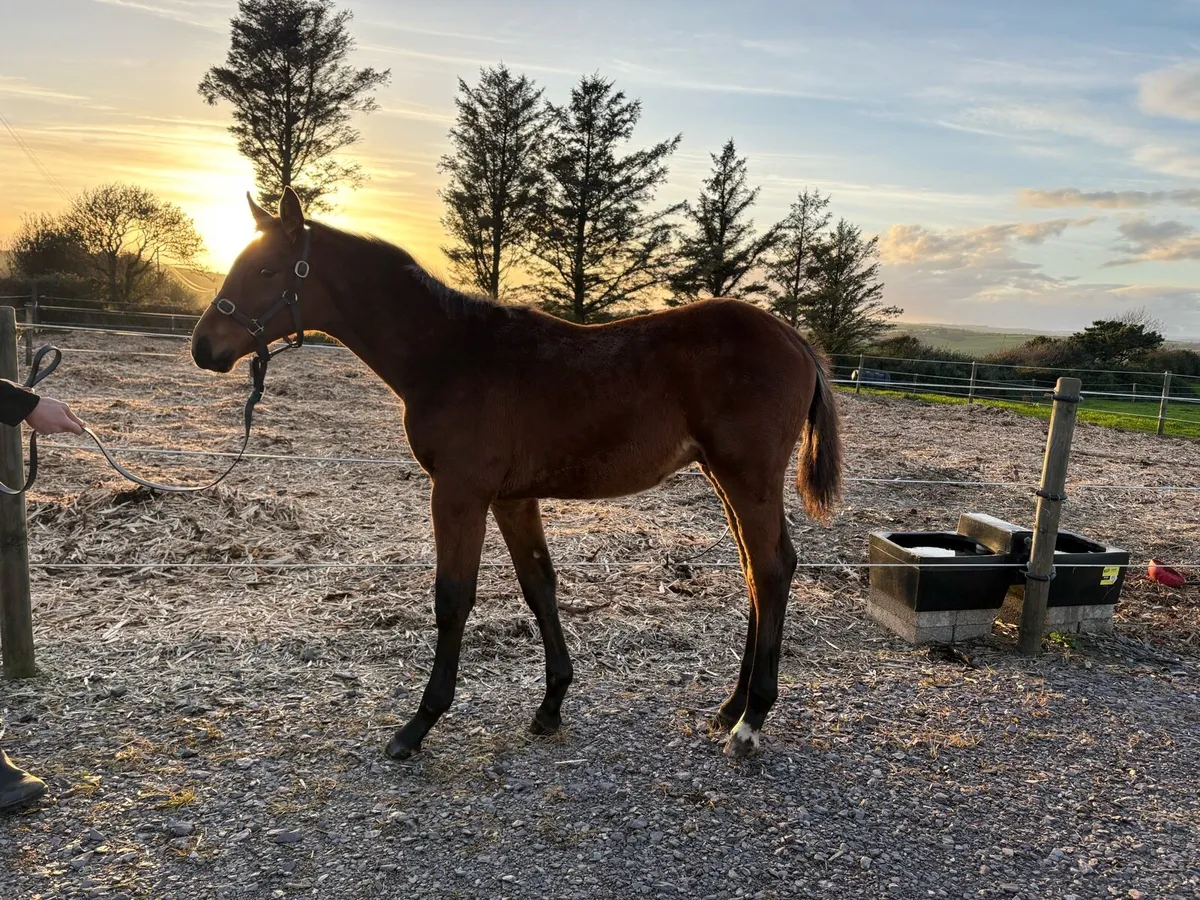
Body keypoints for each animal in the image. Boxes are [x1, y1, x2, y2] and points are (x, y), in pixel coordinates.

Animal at [190, 187, 843, 760]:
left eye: (268, 270)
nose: (204, 347)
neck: (450, 355)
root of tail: (796, 339)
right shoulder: (511, 499)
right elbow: (538, 585)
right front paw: (551, 705)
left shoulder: (459, 493)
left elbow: (453, 597)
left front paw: (418, 724)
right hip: (723, 476)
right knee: (758, 571)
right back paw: (731, 706)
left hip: (746, 477)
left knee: (771, 568)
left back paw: (751, 719)